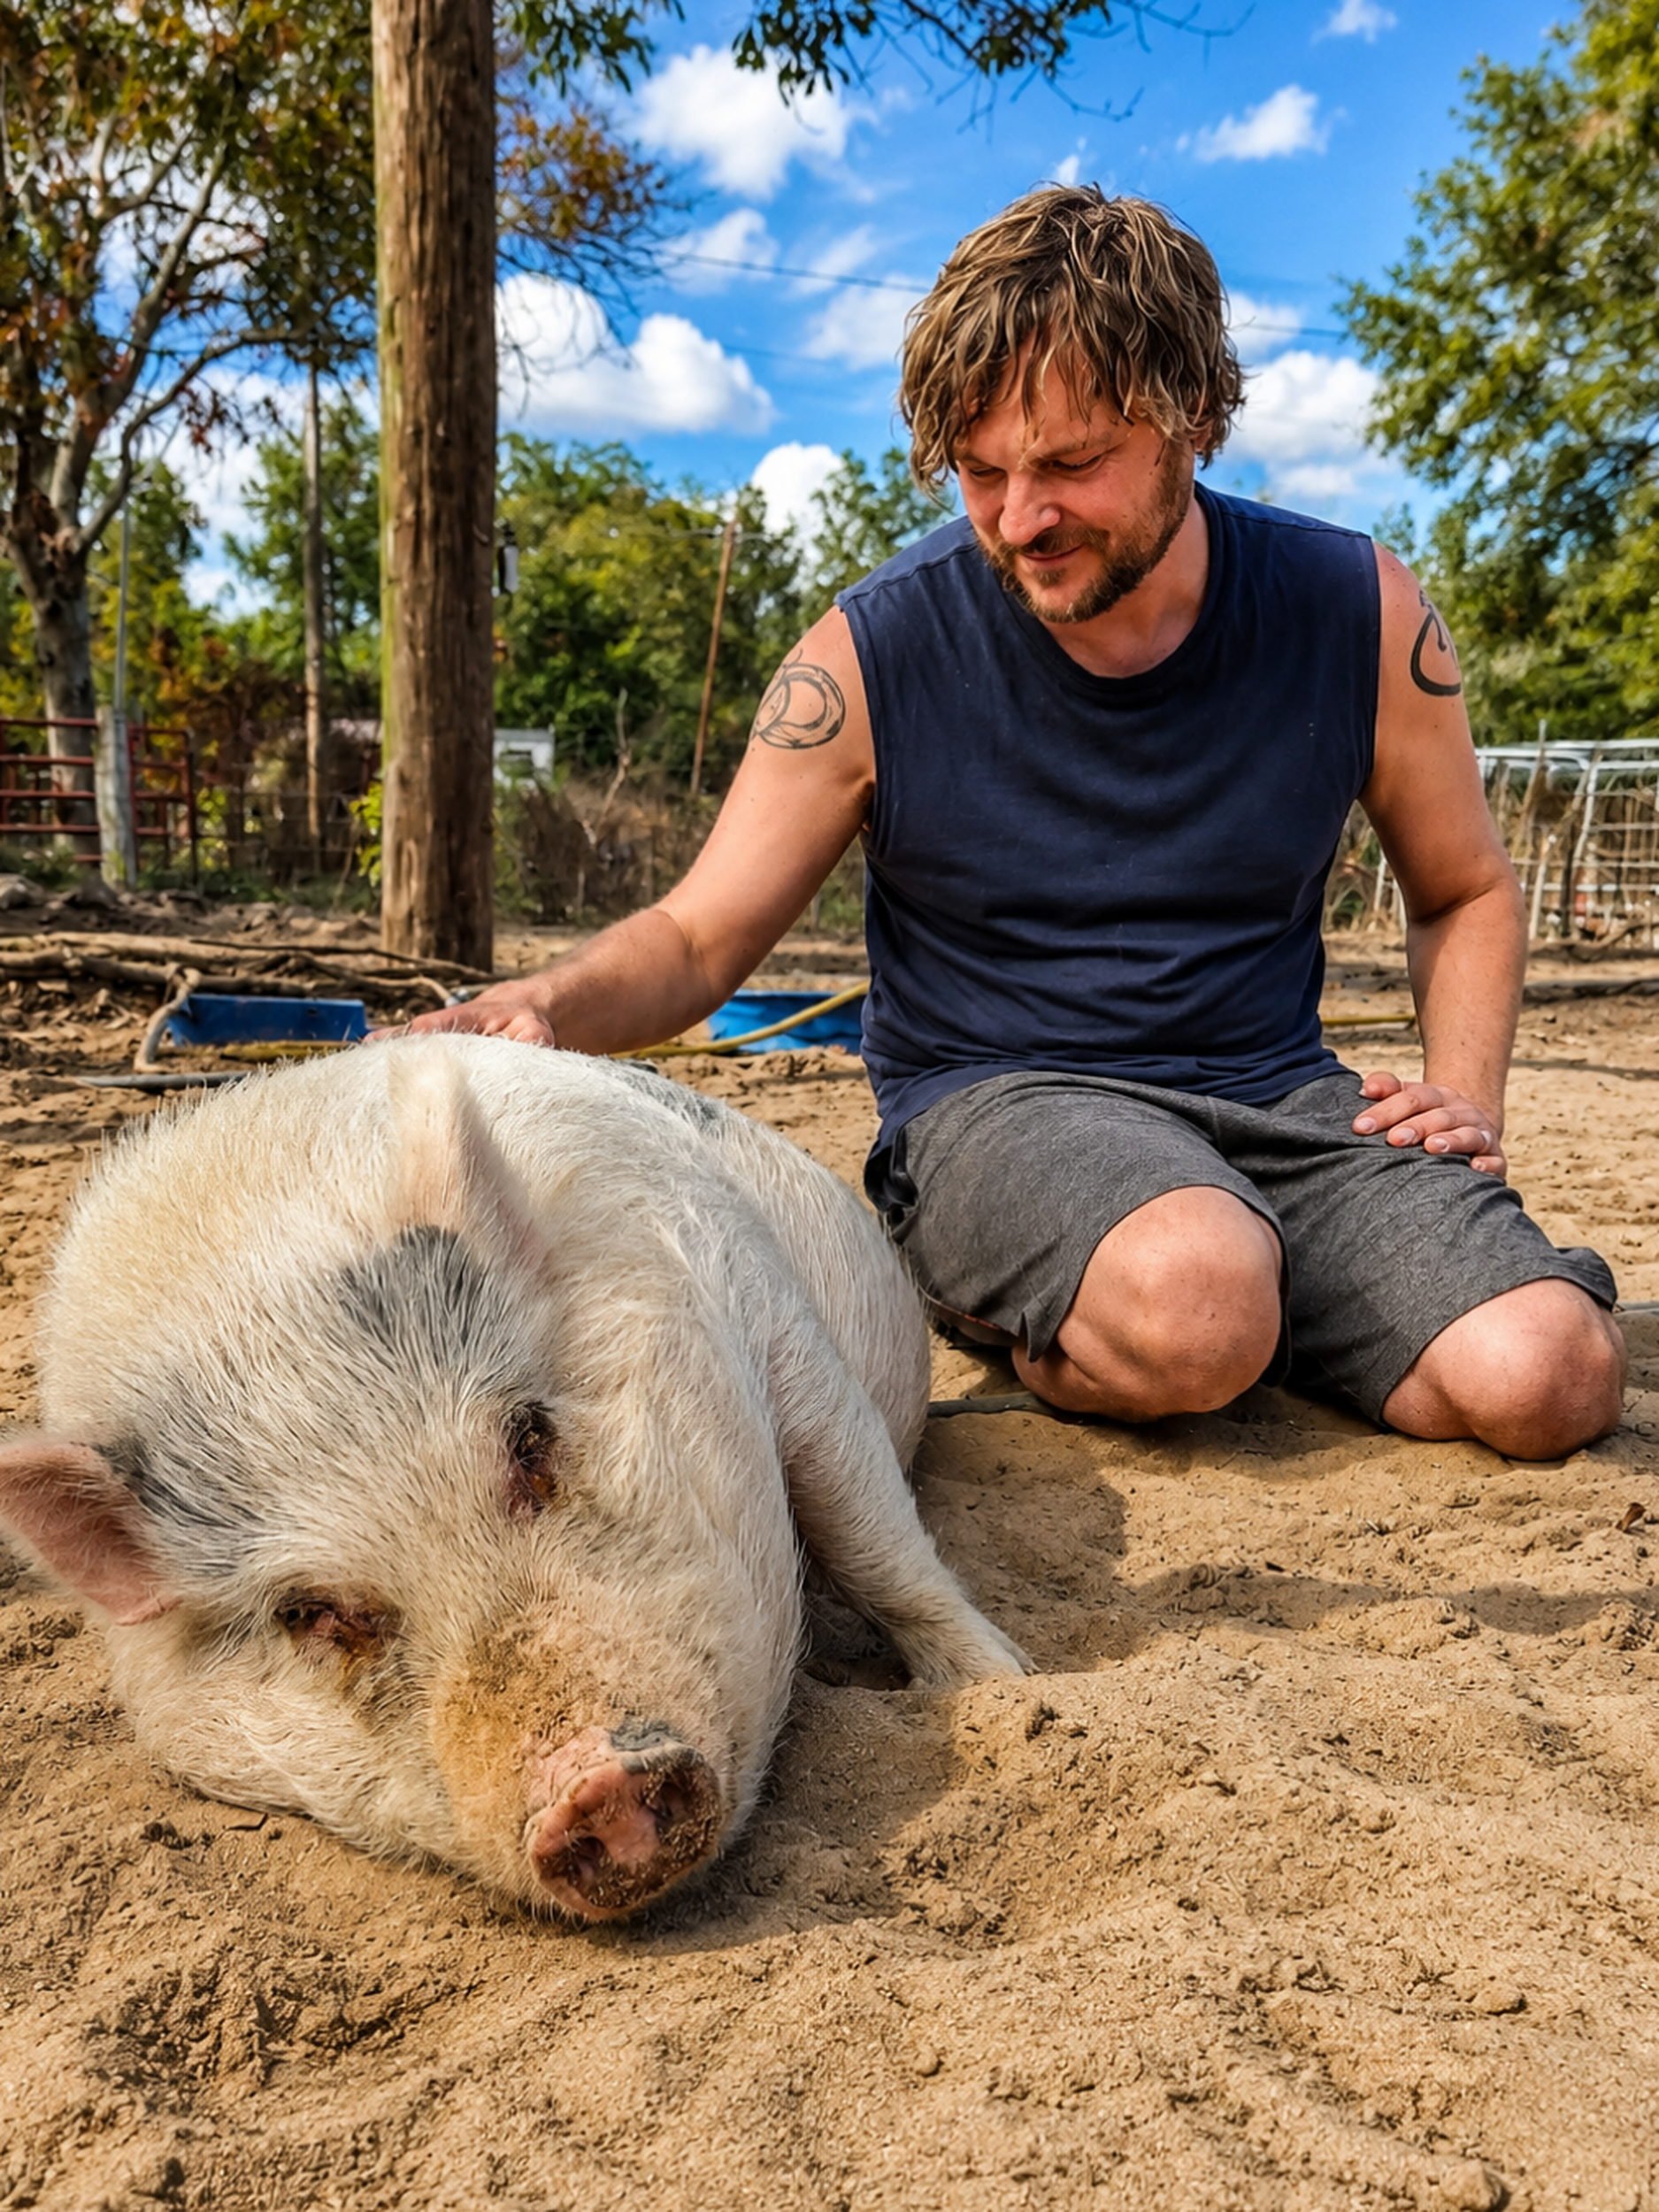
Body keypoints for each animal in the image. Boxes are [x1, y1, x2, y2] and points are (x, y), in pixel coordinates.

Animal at [0, 1037, 1025, 1921]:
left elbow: (868, 1532)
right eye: (306, 1611)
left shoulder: (767, 1308)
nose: (594, 1785)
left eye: (529, 1438)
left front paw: (1010, 1687)